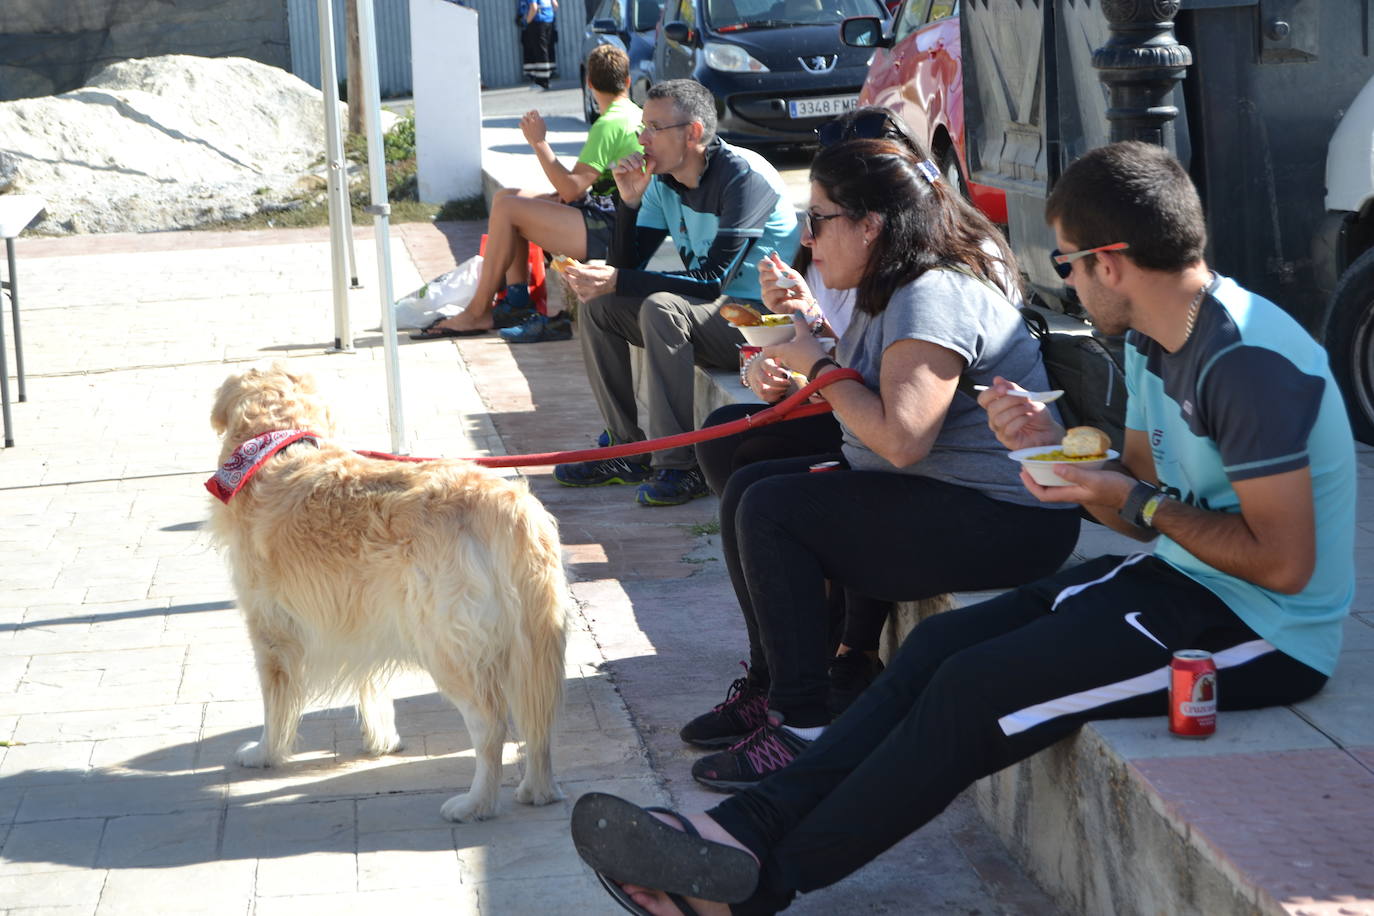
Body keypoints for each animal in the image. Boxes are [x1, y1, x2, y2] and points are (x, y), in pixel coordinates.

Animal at [204, 365, 568, 823]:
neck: (276, 444)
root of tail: (507, 503)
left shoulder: (270, 629)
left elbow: (275, 705)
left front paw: (264, 753)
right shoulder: (364, 615)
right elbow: (373, 686)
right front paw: (382, 741)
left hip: (447, 648)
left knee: (491, 725)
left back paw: (476, 803)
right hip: (532, 645)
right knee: (539, 721)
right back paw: (538, 789)